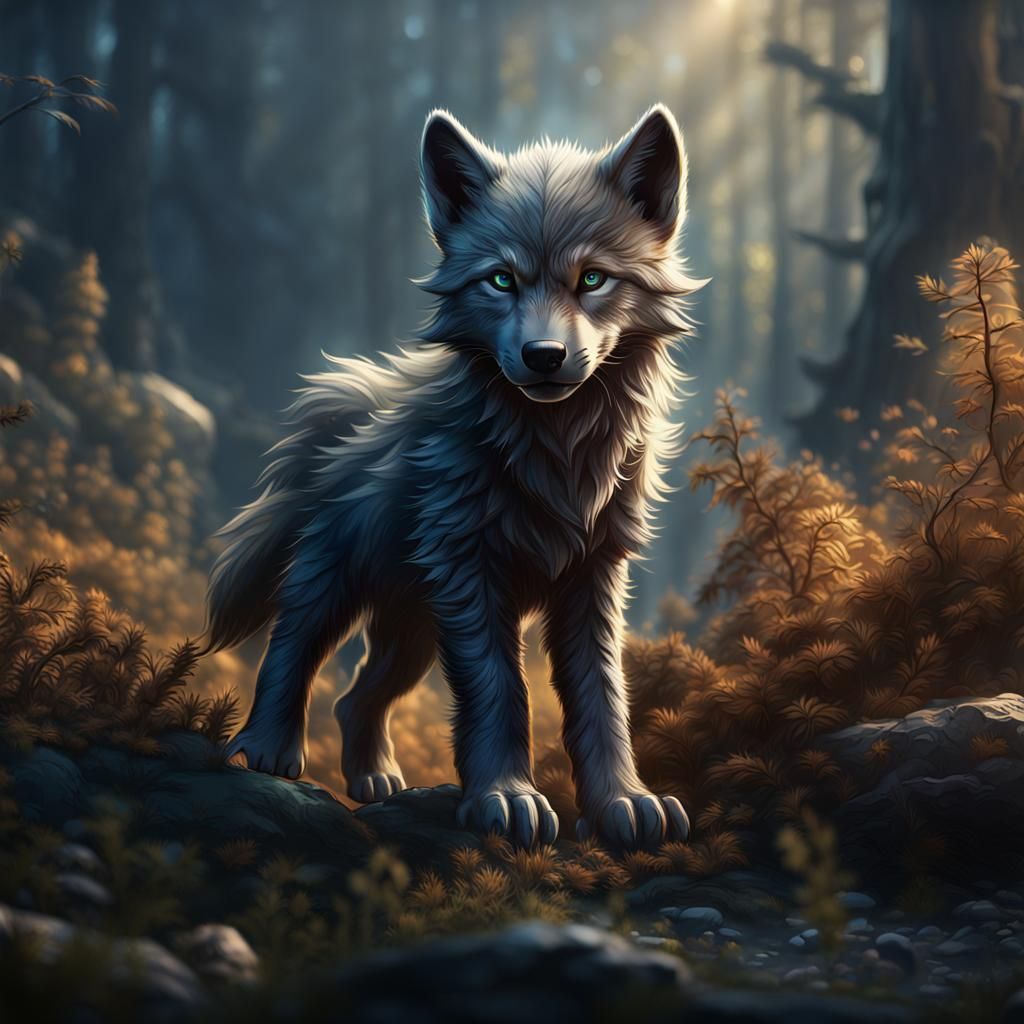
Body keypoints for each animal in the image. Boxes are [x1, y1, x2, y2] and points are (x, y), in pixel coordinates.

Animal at [206, 104, 703, 849]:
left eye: (592, 279)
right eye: (500, 280)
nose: (544, 355)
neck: (556, 452)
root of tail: (352, 399)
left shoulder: (593, 580)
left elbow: (602, 695)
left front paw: (623, 802)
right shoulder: (473, 579)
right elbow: (502, 691)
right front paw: (508, 797)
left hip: (414, 629)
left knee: (355, 696)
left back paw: (374, 778)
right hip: (340, 585)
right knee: (291, 647)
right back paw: (267, 749)